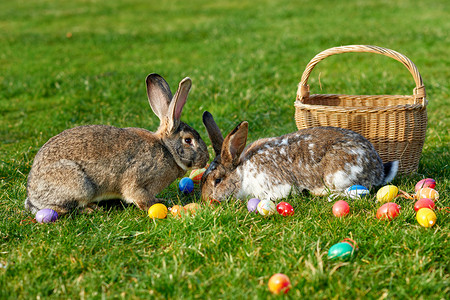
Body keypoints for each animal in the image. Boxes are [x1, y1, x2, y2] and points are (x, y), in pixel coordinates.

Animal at [23, 73, 208, 214]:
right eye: (188, 140)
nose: (206, 159)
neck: (167, 149)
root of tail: (33, 194)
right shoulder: (138, 181)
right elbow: (140, 197)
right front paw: (162, 204)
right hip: (80, 185)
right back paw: (91, 209)